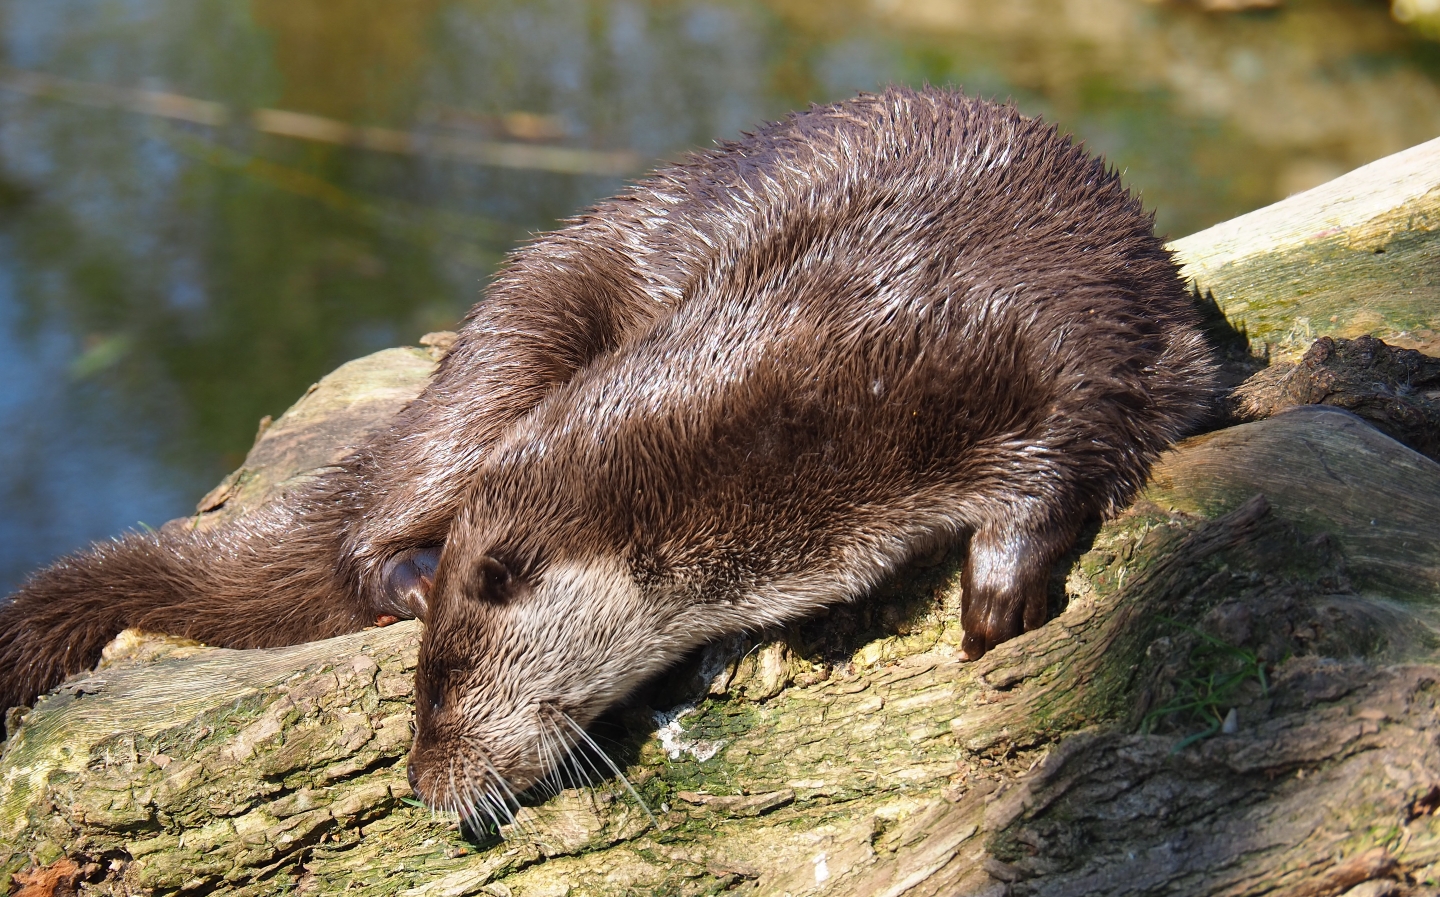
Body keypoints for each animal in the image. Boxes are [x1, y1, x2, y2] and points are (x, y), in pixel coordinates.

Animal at [0, 89, 1215, 820]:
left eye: (441, 686)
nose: (421, 782)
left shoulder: (1038, 337)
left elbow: (1070, 446)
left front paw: (996, 601)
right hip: (524, 319)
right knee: (377, 512)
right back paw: (407, 568)